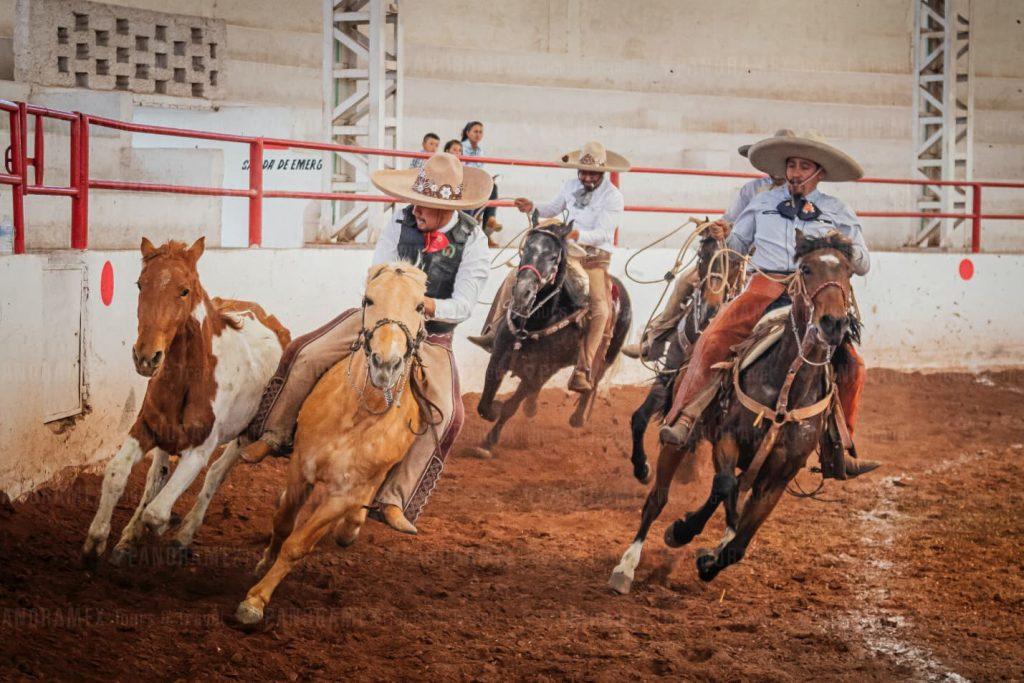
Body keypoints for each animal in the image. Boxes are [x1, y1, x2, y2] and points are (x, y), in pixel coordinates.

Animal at [78, 237, 288, 569]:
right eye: (140, 284)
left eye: (184, 290)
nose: (146, 356)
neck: (190, 378)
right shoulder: (145, 428)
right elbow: (116, 475)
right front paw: (97, 541)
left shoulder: (199, 449)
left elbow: (157, 512)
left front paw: (165, 526)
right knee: (156, 475)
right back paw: (129, 539)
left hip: (244, 437)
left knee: (215, 475)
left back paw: (182, 536)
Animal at [237, 262, 430, 626]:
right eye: (369, 299)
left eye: (420, 306)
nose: (386, 364)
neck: (357, 416)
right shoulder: (301, 468)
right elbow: (283, 523)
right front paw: (264, 563)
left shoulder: (344, 495)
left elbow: (298, 544)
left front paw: (255, 600)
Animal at [626, 237, 741, 483]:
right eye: (702, 256)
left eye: (733, 262)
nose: (710, 307)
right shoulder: (671, 369)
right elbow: (640, 417)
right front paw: (641, 468)